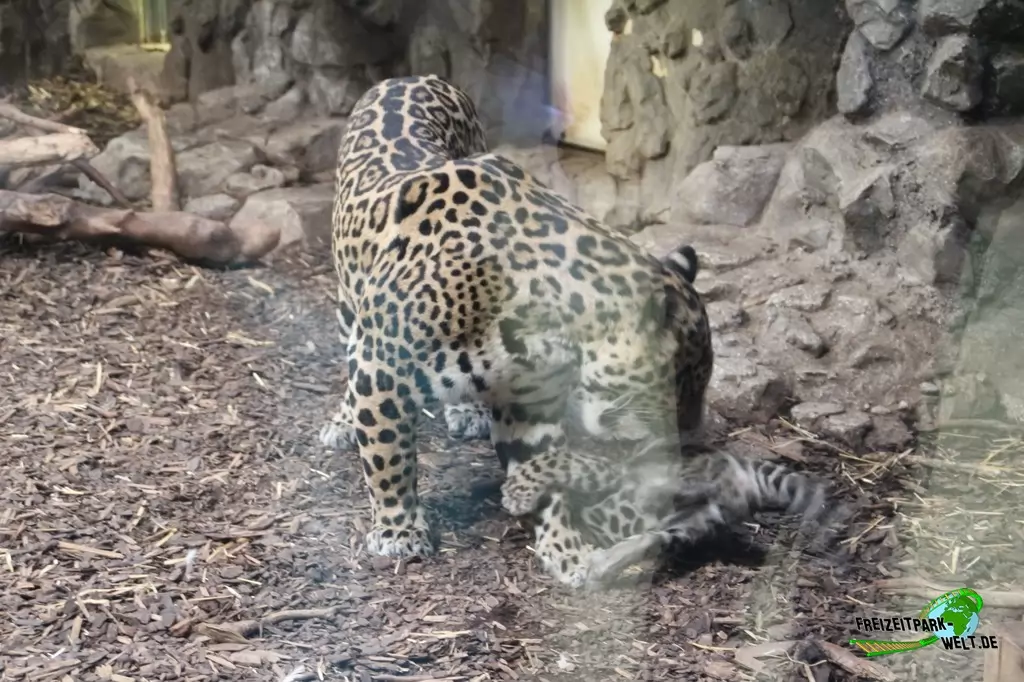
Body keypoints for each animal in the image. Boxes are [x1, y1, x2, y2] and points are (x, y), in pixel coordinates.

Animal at [317, 74, 713, 581]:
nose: (690, 434)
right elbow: (389, 456)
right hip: (350, 309)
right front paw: (398, 531)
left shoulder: (529, 402)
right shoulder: (381, 368)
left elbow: (542, 470)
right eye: (682, 378)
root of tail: (414, 76)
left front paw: (566, 548)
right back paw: (343, 423)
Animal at [502, 436, 841, 589]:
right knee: (654, 535)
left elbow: (556, 459)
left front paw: (518, 492)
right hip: (691, 523)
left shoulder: (600, 466)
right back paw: (602, 565)